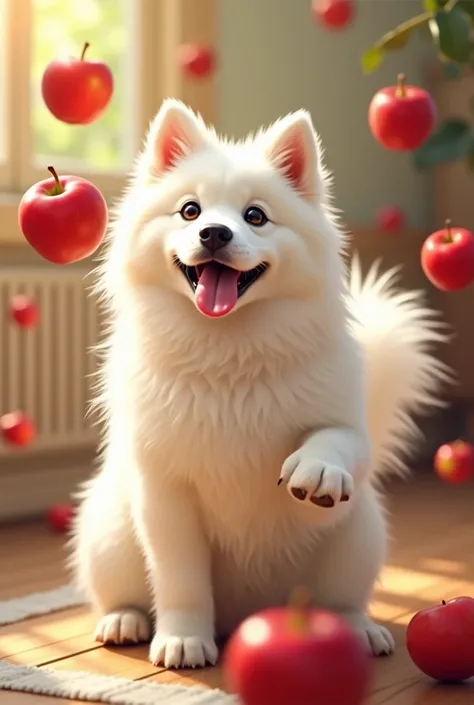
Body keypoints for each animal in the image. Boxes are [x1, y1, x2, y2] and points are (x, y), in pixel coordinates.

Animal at [70, 97, 448, 664]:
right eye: (190, 211)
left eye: (255, 216)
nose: (214, 233)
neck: (229, 350)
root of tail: (247, 614)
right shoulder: (166, 493)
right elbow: (181, 581)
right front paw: (184, 639)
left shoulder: (350, 429)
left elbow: (338, 440)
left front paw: (317, 469)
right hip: (108, 533)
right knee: (122, 590)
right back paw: (124, 619)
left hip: (359, 535)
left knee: (341, 596)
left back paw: (356, 629)